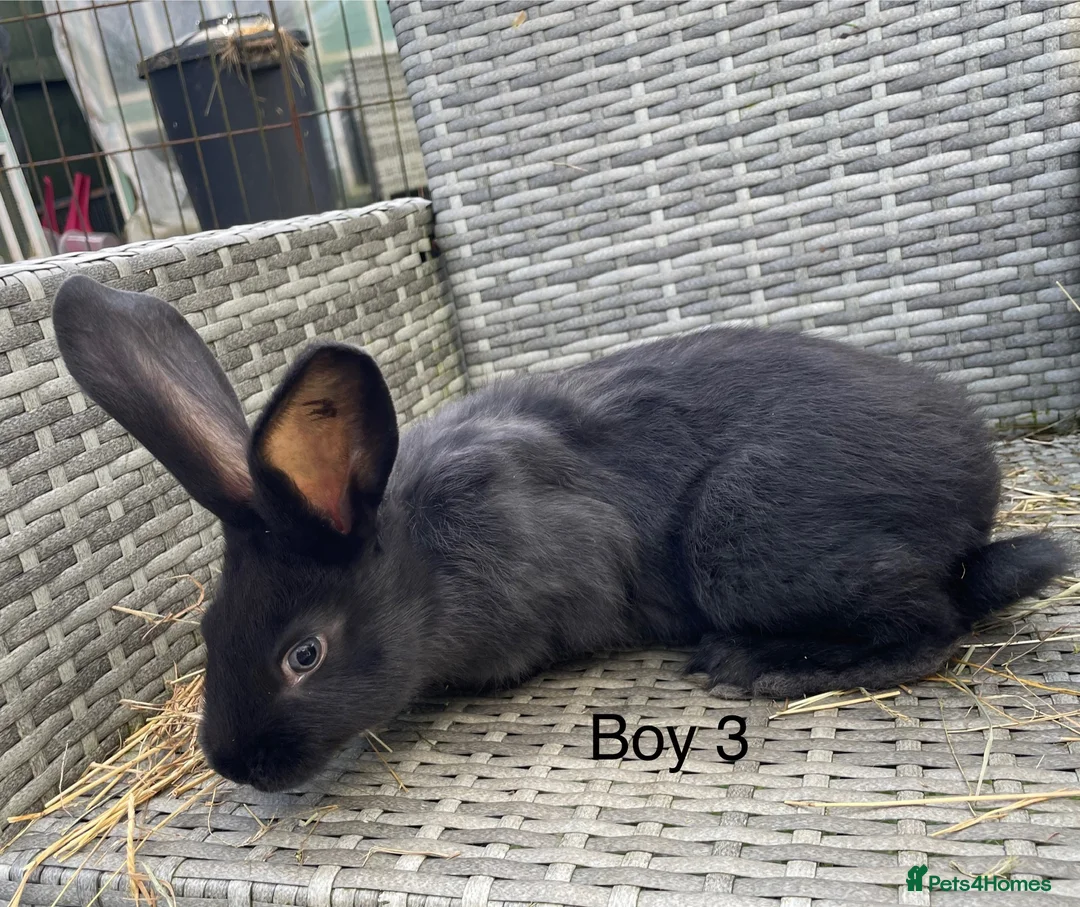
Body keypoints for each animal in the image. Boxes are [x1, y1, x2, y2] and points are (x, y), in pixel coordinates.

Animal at [53, 274, 1069, 792]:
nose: (231, 764)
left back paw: (756, 665)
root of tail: (975, 471)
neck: (424, 550)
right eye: (207, 630)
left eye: (304, 654)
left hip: (745, 541)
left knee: (929, 623)